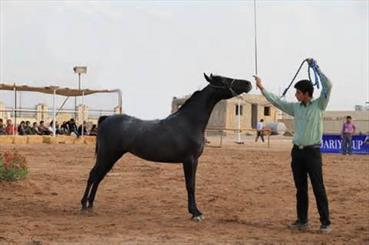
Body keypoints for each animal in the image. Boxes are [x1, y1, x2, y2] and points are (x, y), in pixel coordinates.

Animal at [80, 72, 252, 220]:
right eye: (223, 80)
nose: (248, 83)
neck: (189, 122)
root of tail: (106, 118)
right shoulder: (189, 160)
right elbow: (190, 185)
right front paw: (195, 213)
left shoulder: (195, 161)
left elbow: (192, 184)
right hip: (107, 155)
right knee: (93, 175)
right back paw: (84, 205)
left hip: (112, 156)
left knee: (99, 176)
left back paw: (91, 204)